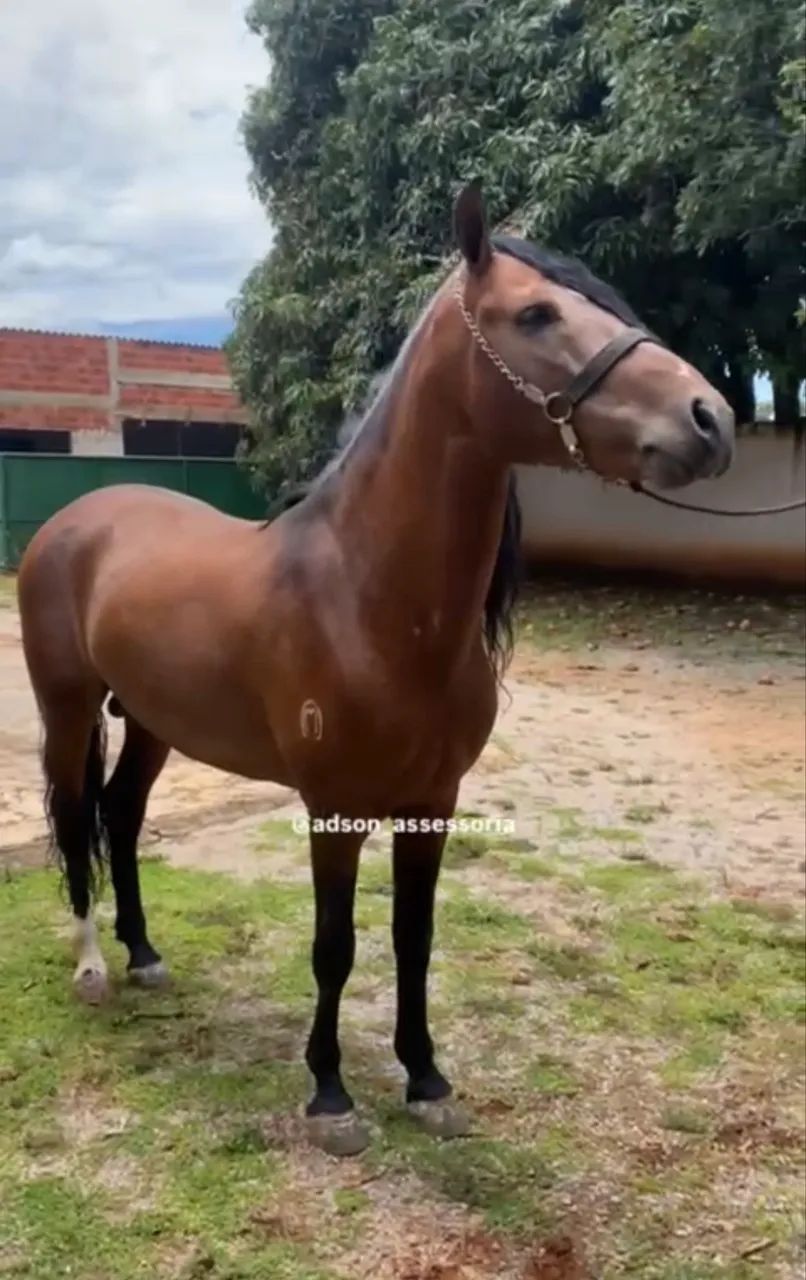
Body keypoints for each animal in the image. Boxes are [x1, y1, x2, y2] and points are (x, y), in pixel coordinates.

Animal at [16, 183, 734, 1156]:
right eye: (537, 314)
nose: (711, 419)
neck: (367, 597)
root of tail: (77, 518)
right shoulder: (335, 808)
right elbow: (336, 946)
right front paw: (331, 1096)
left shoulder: (434, 804)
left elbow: (413, 939)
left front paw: (426, 1080)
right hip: (68, 709)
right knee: (75, 816)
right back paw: (93, 965)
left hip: (156, 722)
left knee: (122, 817)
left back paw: (146, 955)